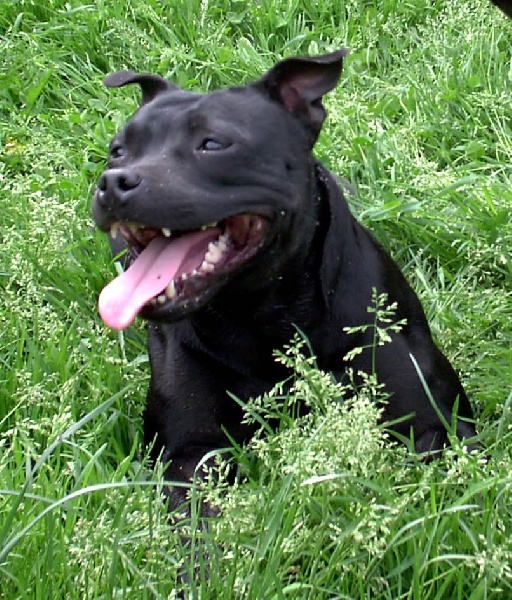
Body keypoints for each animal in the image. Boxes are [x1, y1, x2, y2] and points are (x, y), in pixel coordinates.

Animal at [92, 49, 476, 512]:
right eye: (117, 151)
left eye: (213, 143)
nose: (113, 182)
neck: (263, 314)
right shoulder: (187, 456)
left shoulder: (438, 426)